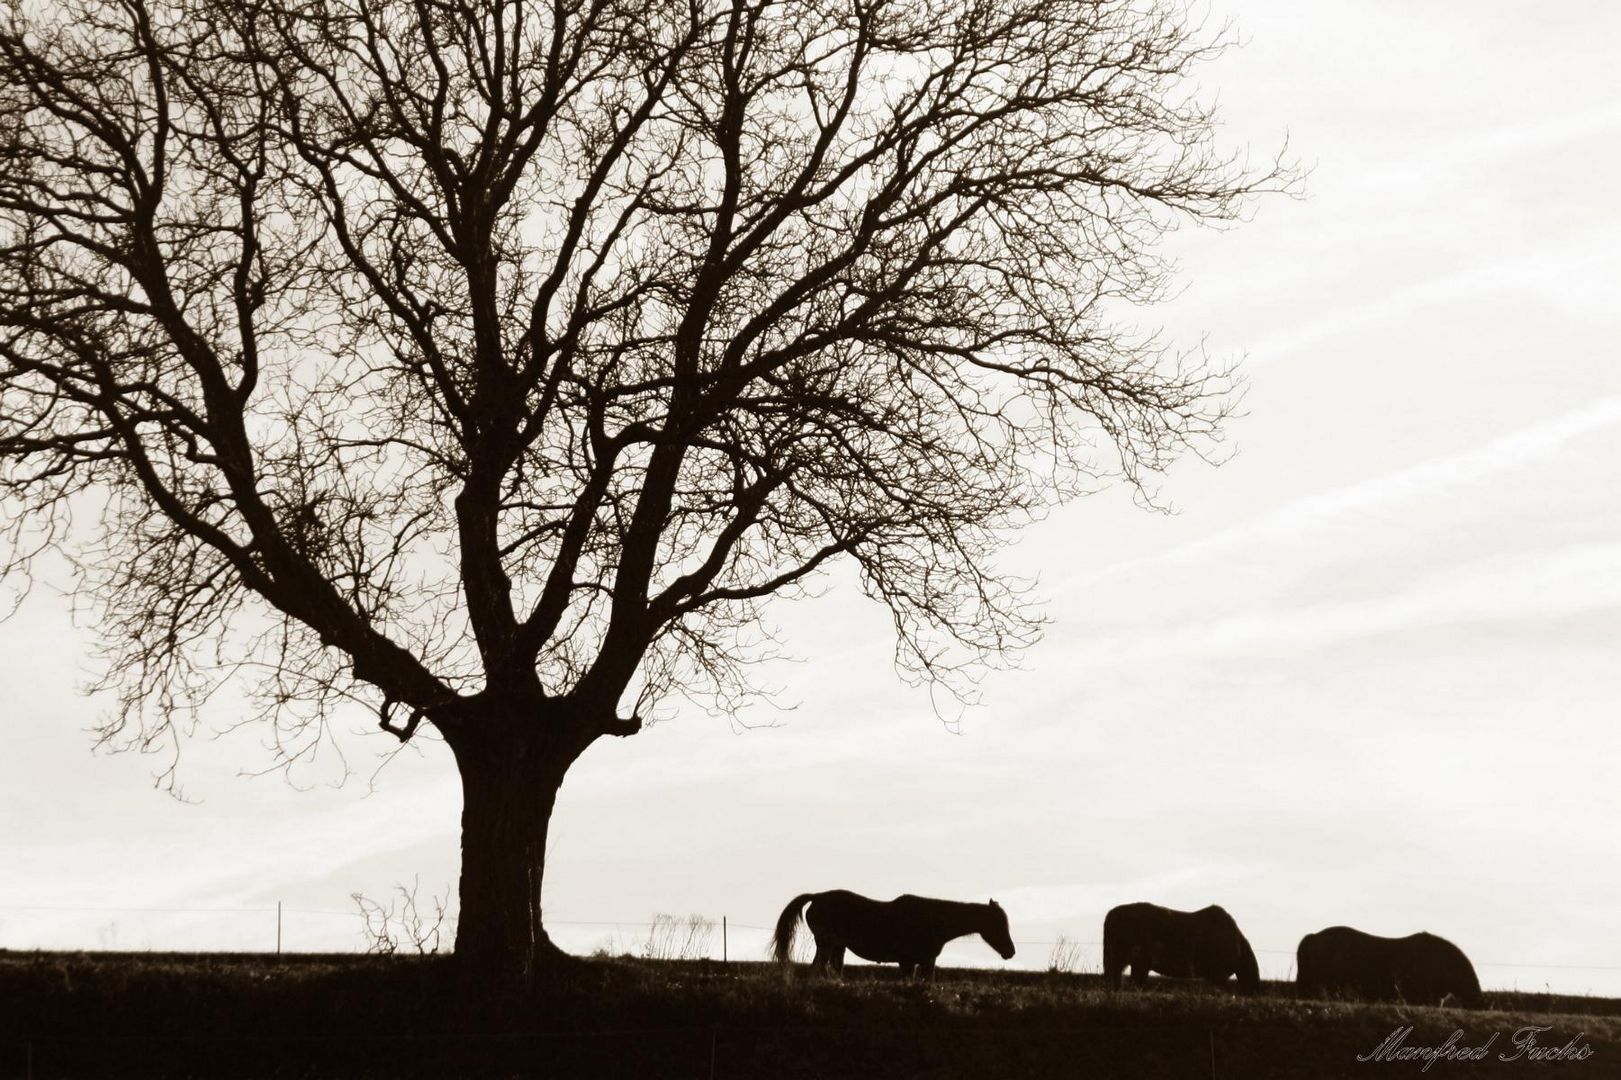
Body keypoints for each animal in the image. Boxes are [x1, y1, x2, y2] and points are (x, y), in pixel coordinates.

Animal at [768, 888, 1011, 972]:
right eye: (999, 924)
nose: (1011, 951)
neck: (933, 920)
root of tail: (817, 897)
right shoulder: (907, 962)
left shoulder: (927, 962)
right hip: (827, 944)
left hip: (837, 947)